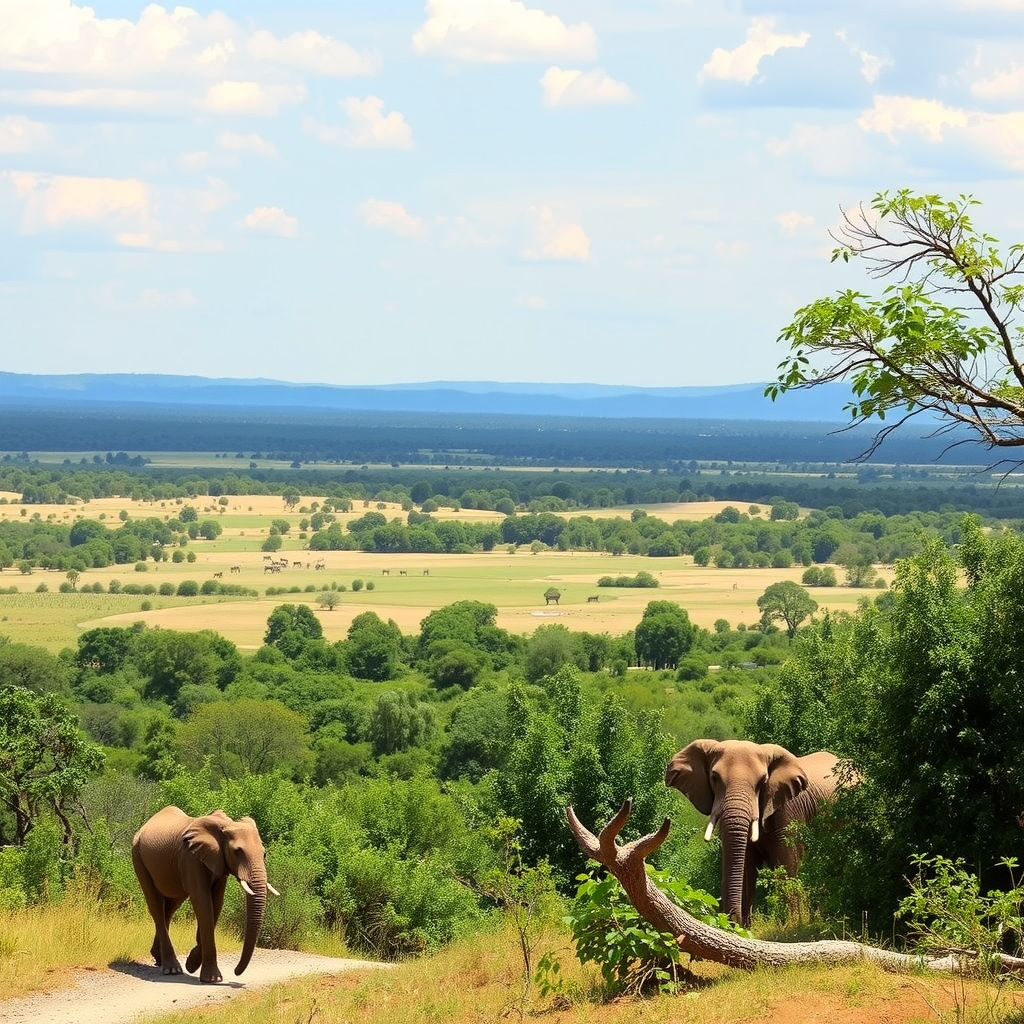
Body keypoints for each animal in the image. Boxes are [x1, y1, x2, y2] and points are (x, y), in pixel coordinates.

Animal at [131, 806, 280, 983]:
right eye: (237, 852)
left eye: (264, 854)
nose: (236, 972)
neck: (226, 825)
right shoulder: (191, 859)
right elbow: (203, 903)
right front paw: (212, 978)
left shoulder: (219, 863)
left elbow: (216, 905)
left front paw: (191, 964)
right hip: (138, 856)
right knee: (156, 906)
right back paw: (172, 969)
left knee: (171, 907)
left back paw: (159, 959)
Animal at [667, 741, 843, 925]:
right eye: (714, 777)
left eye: (763, 781)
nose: (731, 920)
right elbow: (746, 868)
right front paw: (743, 928)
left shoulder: (789, 812)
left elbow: (787, 865)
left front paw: (792, 924)